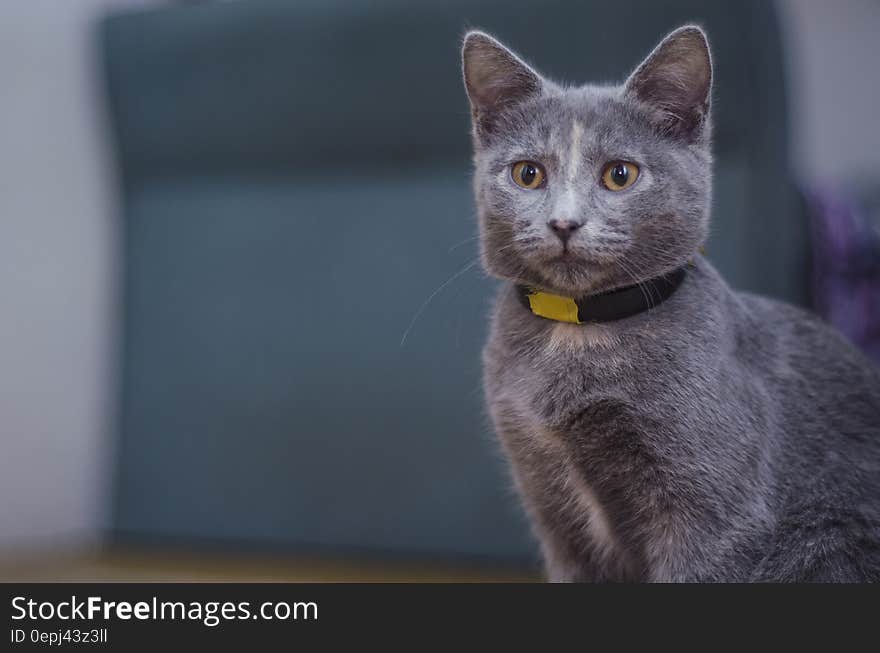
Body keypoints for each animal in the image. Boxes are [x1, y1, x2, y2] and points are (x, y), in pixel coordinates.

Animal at [460, 25, 880, 580]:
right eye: (528, 174)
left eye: (620, 174)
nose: (564, 222)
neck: (579, 331)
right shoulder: (552, 508)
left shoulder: (714, 520)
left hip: (825, 536)